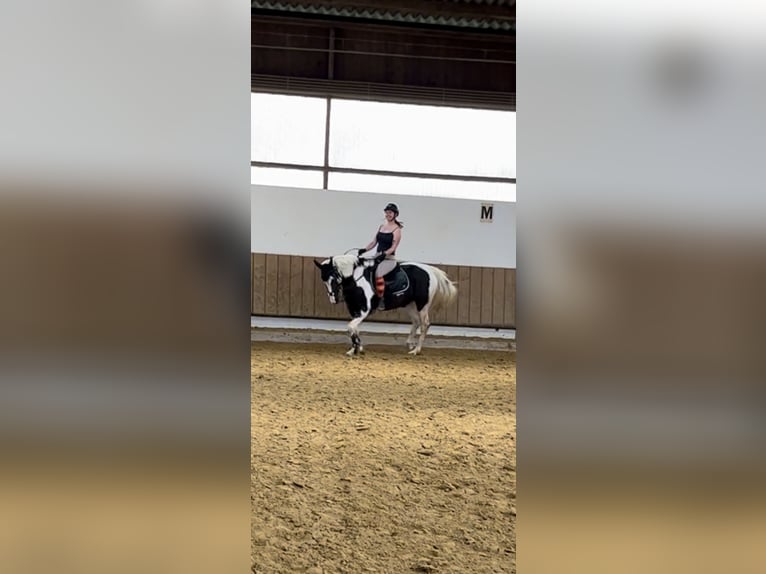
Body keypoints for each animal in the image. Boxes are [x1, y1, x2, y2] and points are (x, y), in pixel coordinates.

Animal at [314, 253, 457, 356]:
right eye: (323, 280)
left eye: (333, 276)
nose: (333, 299)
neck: (356, 280)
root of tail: (429, 270)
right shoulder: (355, 310)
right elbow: (354, 328)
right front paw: (356, 348)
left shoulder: (364, 310)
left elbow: (350, 327)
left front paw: (357, 348)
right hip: (409, 305)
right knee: (416, 322)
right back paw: (410, 344)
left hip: (422, 305)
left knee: (424, 324)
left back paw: (416, 350)